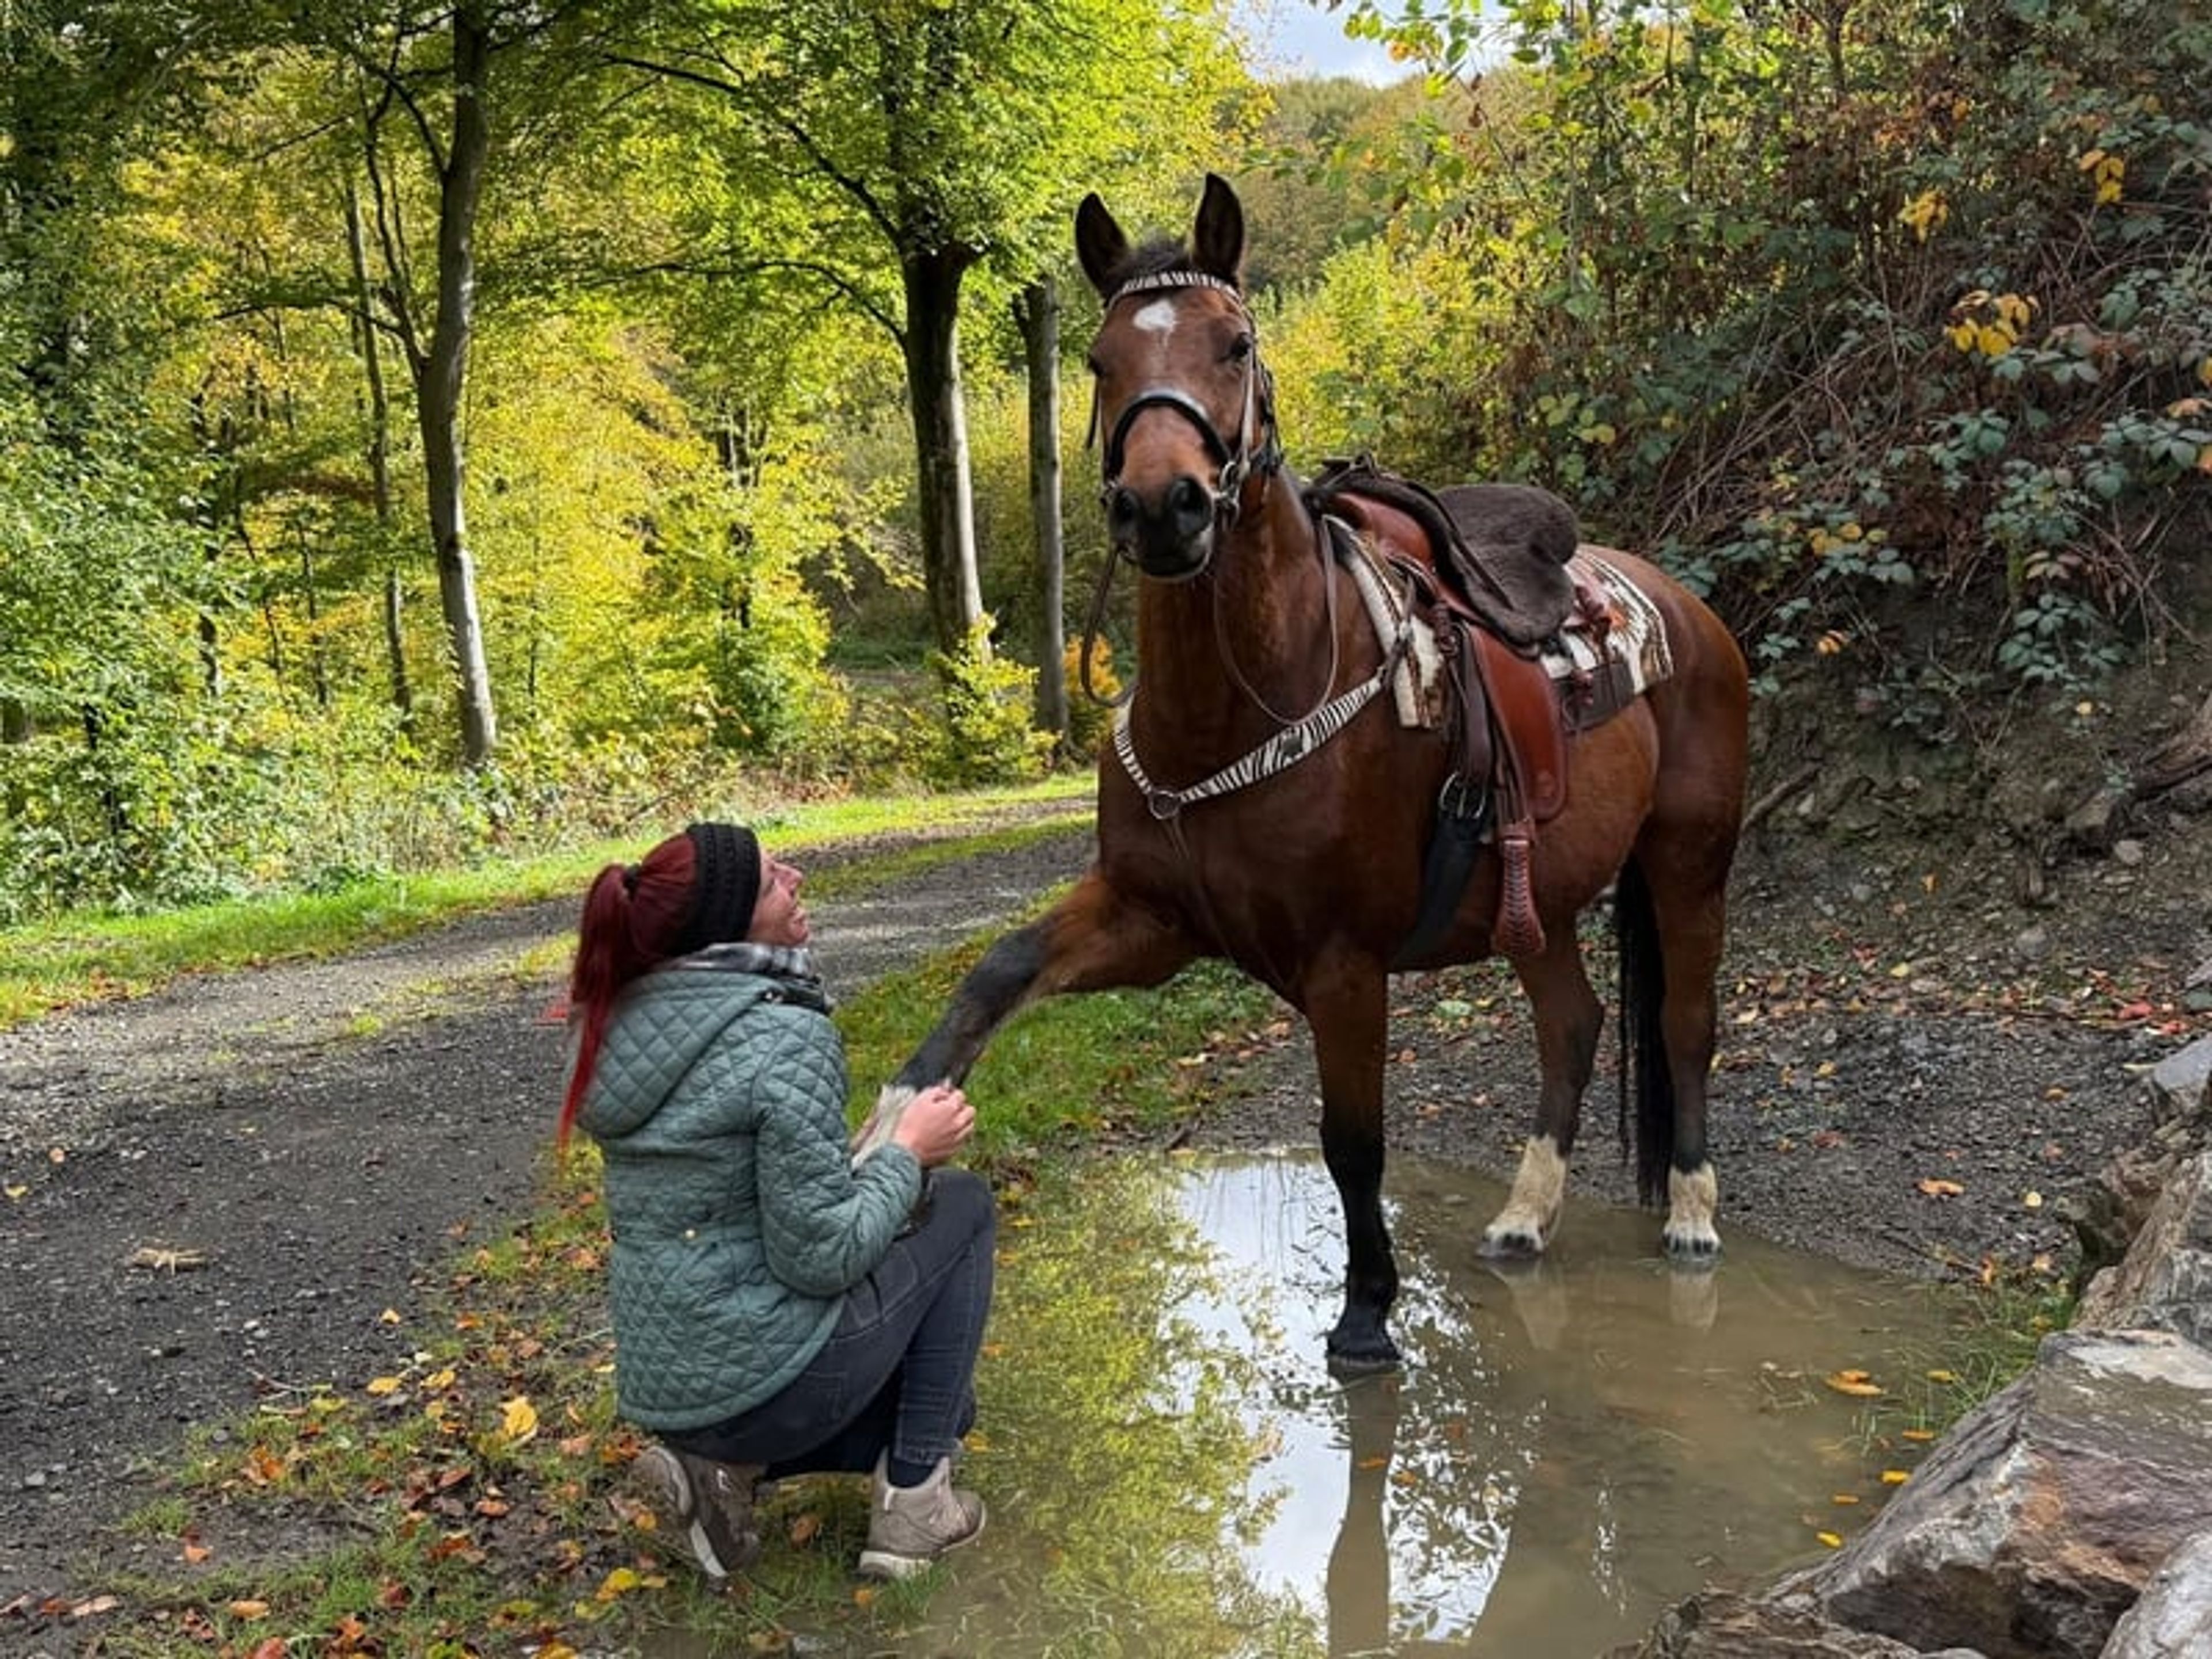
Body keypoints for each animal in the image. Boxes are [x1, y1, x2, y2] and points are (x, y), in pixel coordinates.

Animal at [867, 174, 1749, 1373]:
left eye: (1235, 344)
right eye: (1098, 360)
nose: (1164, 506)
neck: (1242, 707)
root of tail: (1686, 607)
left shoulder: (1344, 964)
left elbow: (1353, 1141)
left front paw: (1369, 1310)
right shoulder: (1151, 919)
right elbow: (998, 969)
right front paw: (893, 1120)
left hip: (1689, 860)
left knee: (1687, 1024)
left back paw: (1693, 1215)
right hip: (1540, 899)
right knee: (1573, 1025)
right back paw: (1526, 1216)